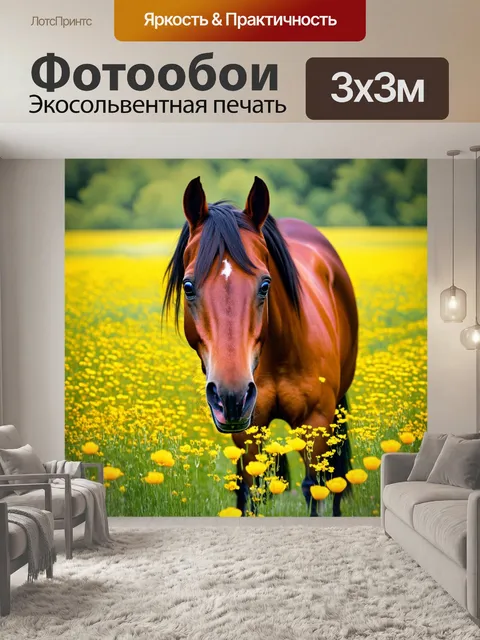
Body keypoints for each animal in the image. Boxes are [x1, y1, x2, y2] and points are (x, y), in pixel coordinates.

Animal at [163, 176, 358, 516]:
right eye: (188, 286)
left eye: (265, 284)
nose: (231, 396)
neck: (281, 354)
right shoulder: (247, 429)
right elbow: (250, 490)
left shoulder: (316, 423)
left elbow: (315, 489)